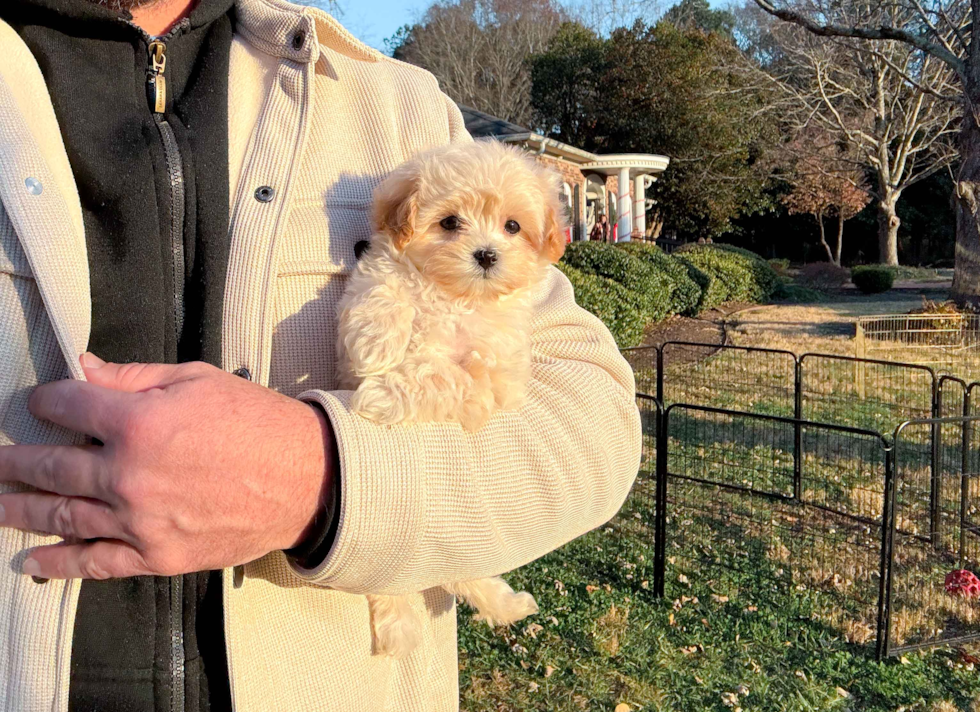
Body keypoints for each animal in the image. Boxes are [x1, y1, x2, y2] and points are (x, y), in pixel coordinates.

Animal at [336, 139, 568, 656]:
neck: (454, 296)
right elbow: (384, 287)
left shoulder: (493, 377)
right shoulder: (385, 266)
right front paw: (377, 344)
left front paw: (383, 393)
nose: (485, 254)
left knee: (459, 572)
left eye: (513, 226)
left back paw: (505, 605)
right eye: (448, 223)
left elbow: (446, 378)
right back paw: (401, 625)